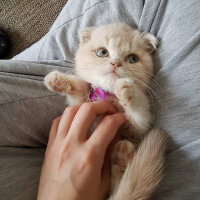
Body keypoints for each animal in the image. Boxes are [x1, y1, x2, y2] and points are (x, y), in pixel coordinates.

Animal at [44, 23, 166, 200]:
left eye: (133, 58)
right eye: (102, 52)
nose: (115, 63)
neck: (108, 95)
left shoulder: (138, 127)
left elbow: (139, 109)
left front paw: (128, 89)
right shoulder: (81, 102)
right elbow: (82, 85)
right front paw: (57, 80)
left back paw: (122, 155)